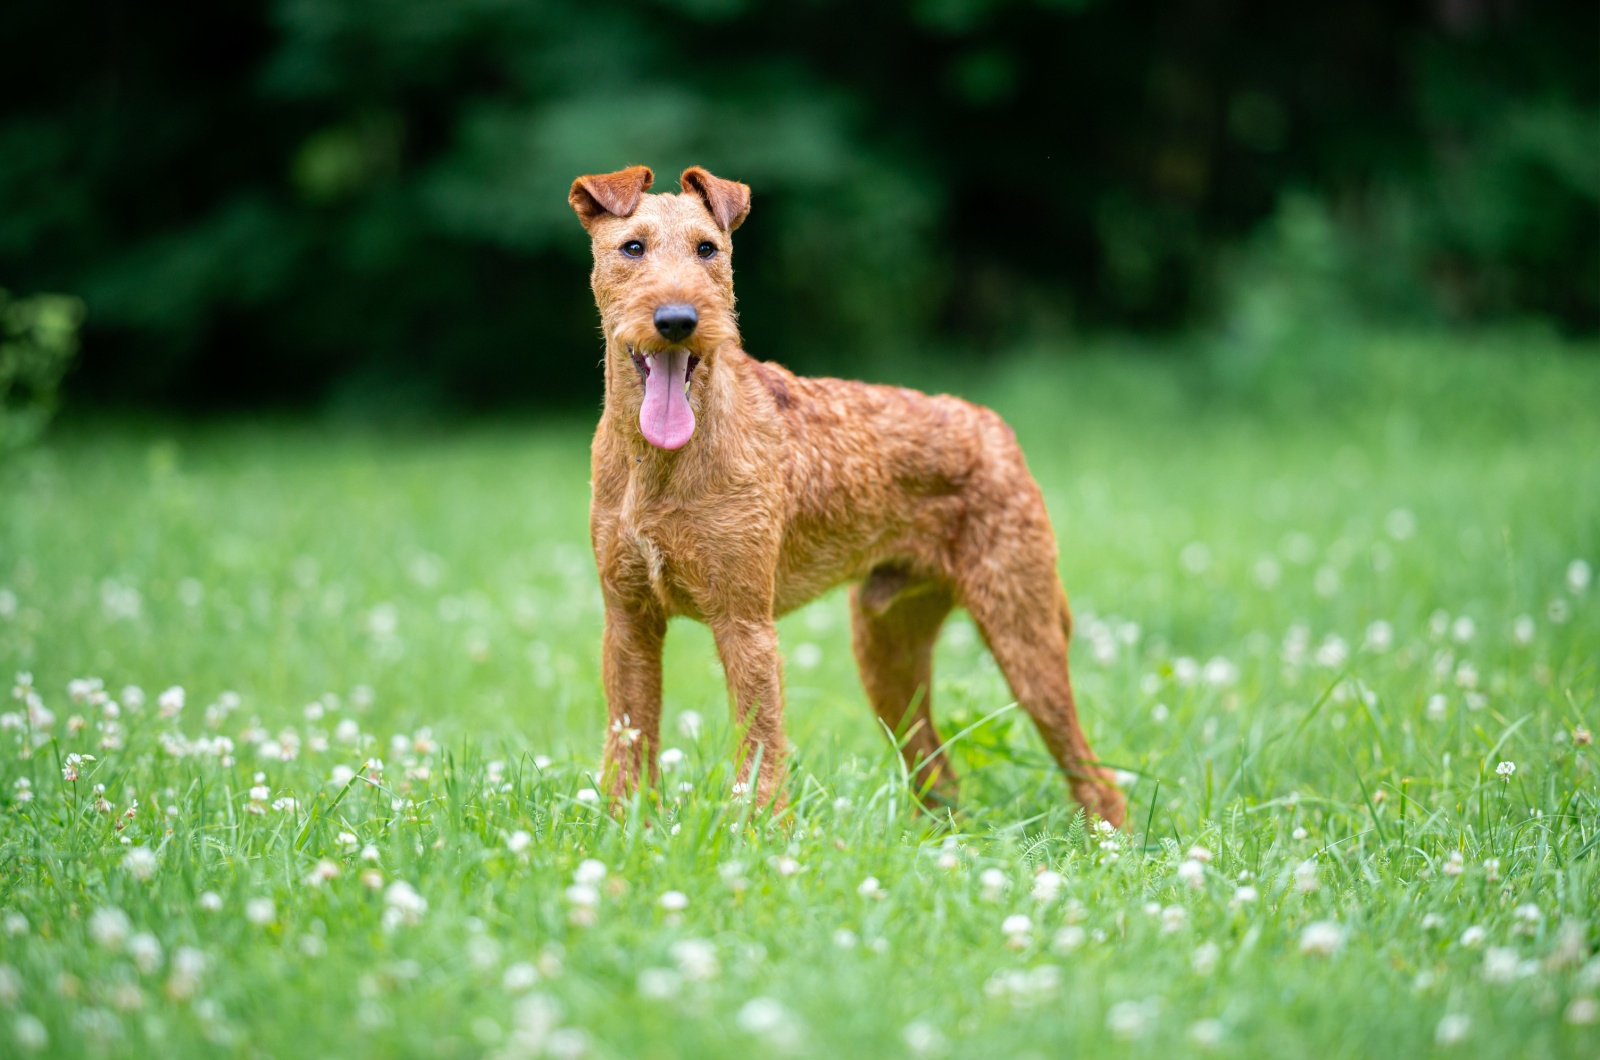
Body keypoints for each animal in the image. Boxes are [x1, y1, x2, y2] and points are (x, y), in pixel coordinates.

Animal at [572, 166, 1126, 832]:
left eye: (708, 248)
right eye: (633, 248)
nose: (678, 319)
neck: (656, 462)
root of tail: (994, 427)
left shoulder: (743, 621)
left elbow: (760, 747)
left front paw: (761, 835)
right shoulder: (628, 621)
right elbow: (629, 742)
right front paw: (623, 830)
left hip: (1024, 636)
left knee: (1093, 774)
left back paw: (1109, 842)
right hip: (886, 651)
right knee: (937, 769)